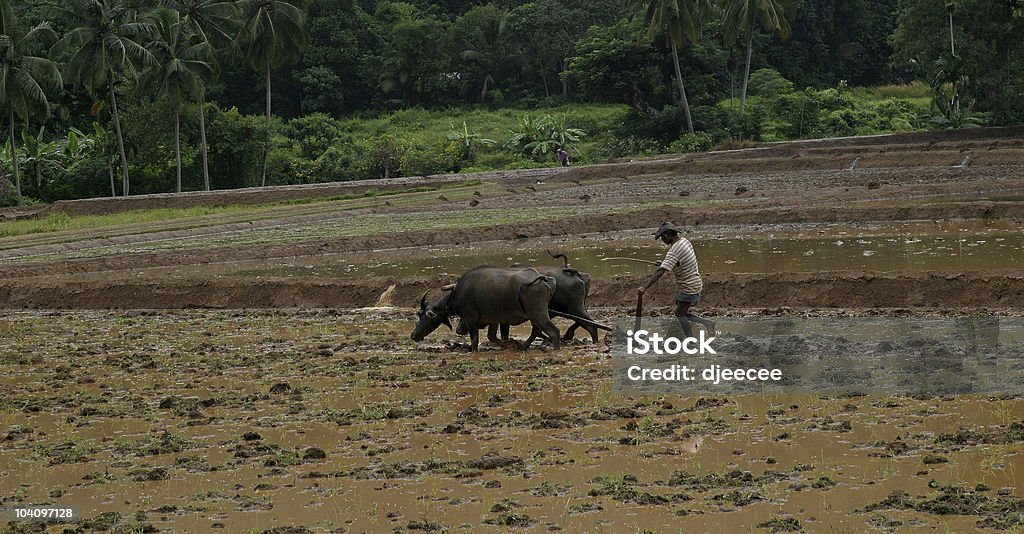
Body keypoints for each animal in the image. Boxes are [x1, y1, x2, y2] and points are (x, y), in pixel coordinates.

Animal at [411, 264, 565, 350]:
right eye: (419, 314)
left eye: (424, 315)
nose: (413, 335)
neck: (456, 294)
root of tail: (542, 278)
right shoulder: (493, 320)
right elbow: (492, 337)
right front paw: (511, 345)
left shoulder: (471, 320)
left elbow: (475, 342)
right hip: (535, 315)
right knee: (536, 331)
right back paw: (522, 346)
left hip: (538, 314)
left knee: (553, 332)